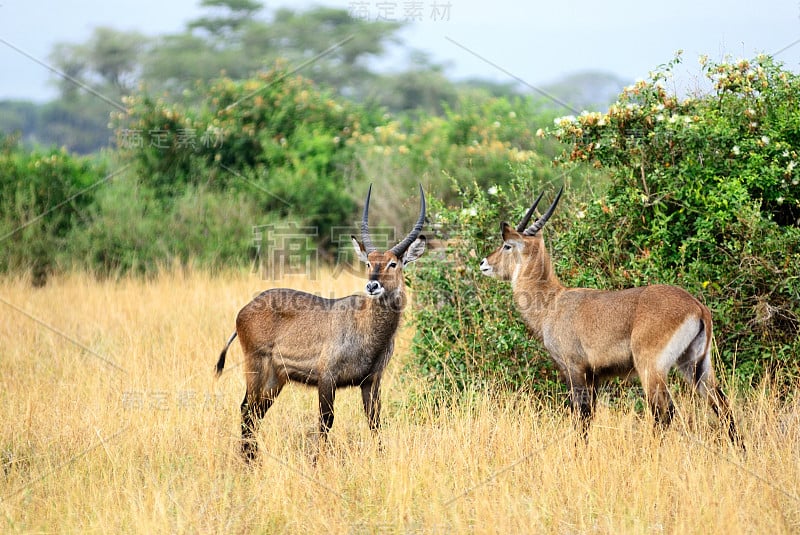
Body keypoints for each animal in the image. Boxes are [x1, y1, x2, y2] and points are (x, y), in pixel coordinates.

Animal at [212, 185, 424, 460]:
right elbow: (326, 422)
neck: (368, 330)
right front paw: (318, 461)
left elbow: (375, 422)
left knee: (255, 413)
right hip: (256, 367)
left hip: (275, 380)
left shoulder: (371, 381)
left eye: (393, 263)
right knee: (247, 410)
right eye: (368, 262)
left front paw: (381, 457)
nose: (372, 285)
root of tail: (243, 310)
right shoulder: (327, 377)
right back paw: (250, 460)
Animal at [478, 186, 740, 446]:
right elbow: (589, 418)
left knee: (665, 412)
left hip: (652, 369)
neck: (552, 301)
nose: (483, 263)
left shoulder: (574, 370)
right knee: (722, 406)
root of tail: (697, 306)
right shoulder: (595, 378)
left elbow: (581, 417)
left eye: (507, 245)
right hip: (696, 366)